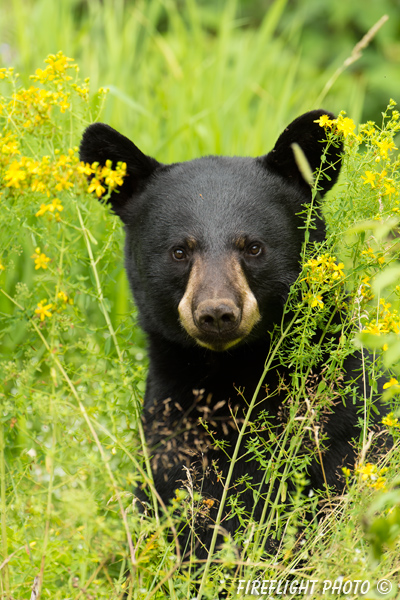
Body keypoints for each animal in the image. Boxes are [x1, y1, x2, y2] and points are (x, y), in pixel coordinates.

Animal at [79, 111, 384, 564]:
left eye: (253, 247)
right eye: (180, 251)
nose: (217, 313)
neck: (231, 373)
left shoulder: (339, 421)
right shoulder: (170, 426)